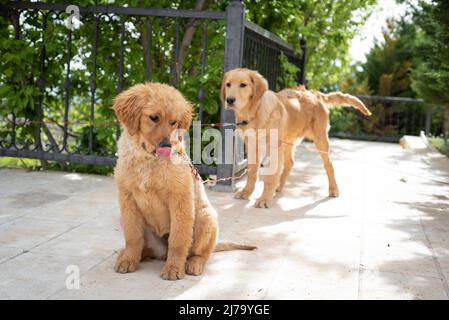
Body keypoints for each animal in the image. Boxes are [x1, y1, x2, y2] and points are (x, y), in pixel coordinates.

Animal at [114, 82, 254, 280]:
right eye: (154, 118)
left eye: (174, 122)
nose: (167, 145)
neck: (148, 159)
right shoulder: (127, 199)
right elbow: (133, 236)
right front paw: (129, 260)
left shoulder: (180, 198)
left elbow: (179, 238)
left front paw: (173, 268)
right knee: (146, 247)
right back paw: (129, 255)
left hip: (206, 217)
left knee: (200, 253)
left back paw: (194, 264)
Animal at [220, 67, 372, 208]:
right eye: (228, 84)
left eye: (243, 85)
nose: (230, 100)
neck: (255, 112)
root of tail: (315, 94)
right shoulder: (252, 146)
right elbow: (252, 173)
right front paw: (247, 192)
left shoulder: (274, 147)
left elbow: (270, 177)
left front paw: (264, 199)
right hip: (288, 141)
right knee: (290, 163)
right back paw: (278, 187)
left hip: (320, 139)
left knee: (329, 165)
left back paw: (333, 189)